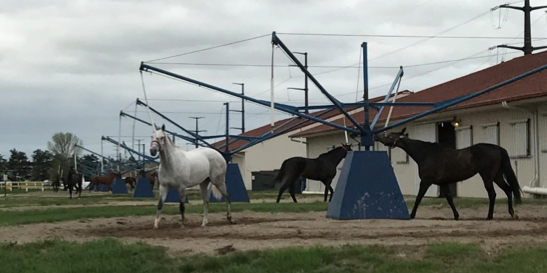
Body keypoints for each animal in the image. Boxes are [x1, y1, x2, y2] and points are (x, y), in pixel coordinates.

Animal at [376, 127, 524, 219]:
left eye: (389, 135)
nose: (376, 136)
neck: (427, 154)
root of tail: (497, 148)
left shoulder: (426, 182)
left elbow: (418, 197)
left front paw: (411, 215)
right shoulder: (443, 183)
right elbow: (449, 199)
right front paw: (456, 215)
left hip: (487, 177)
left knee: (492, 194)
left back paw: (489, 216)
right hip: (497, 176)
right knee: (508, 190)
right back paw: (512, 213)